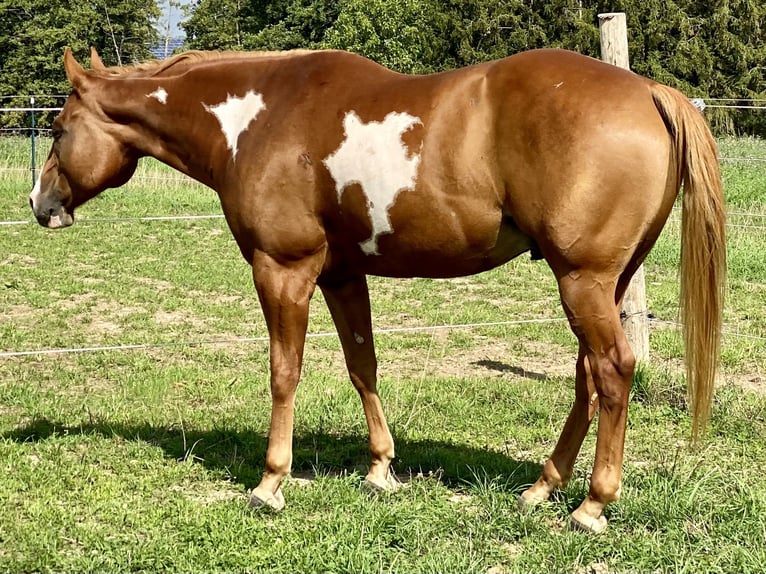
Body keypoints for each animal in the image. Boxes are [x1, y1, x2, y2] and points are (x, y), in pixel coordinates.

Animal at [29, 46, 725, 533]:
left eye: (58, 127)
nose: (39, 204)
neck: (258, 119)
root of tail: (649, 91)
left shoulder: (282, 269)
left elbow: (284, 372)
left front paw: (270, 483)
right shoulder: (340, 273)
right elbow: (362, 364)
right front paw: (381, 471)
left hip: (583, 281)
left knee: (612, 370)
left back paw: (590, 506)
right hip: (605, 282)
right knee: (588, 377)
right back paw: (541, 488)